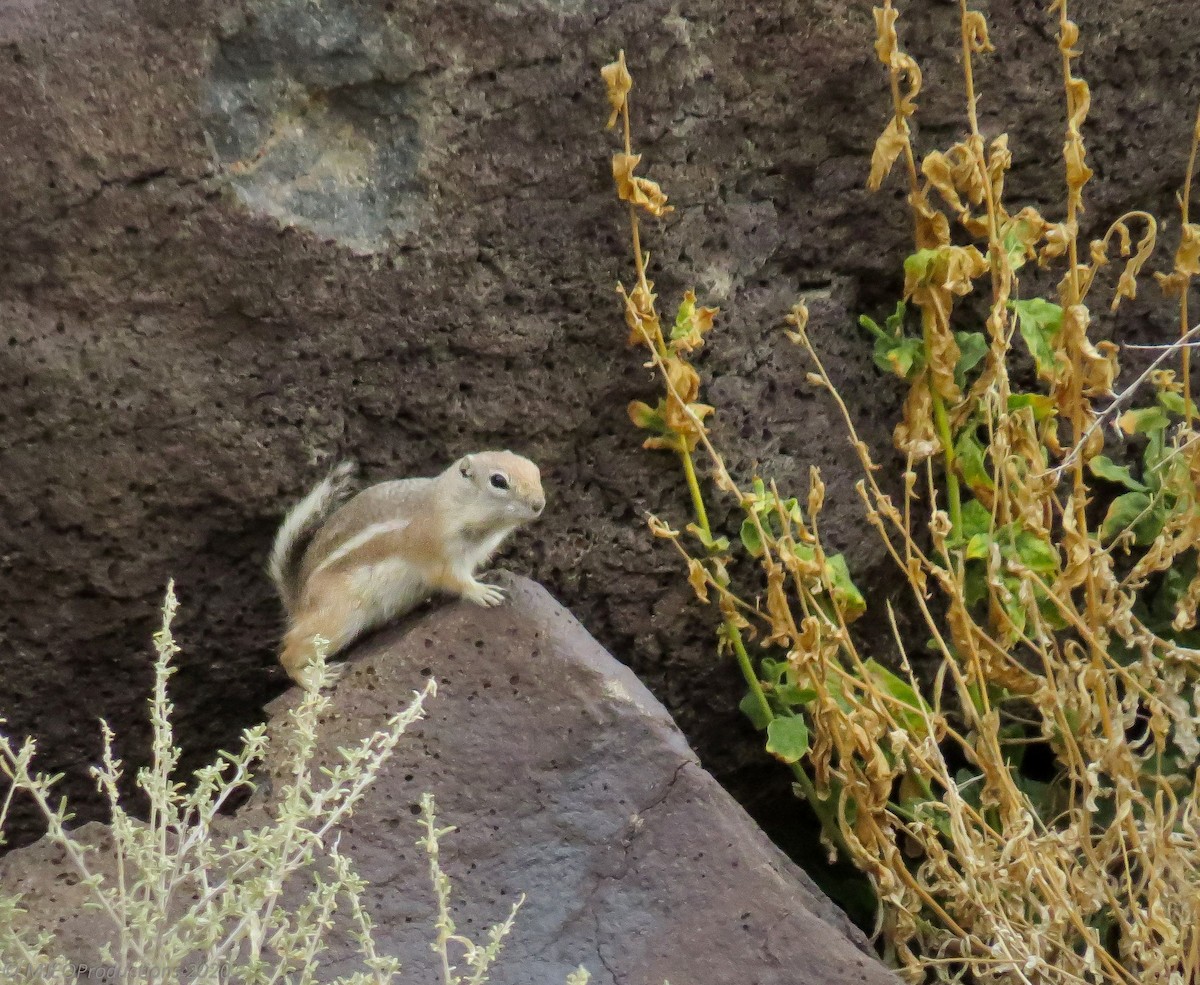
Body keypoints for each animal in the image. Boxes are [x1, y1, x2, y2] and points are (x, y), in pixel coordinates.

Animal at [268, 451, 545, 689]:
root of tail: (299, 602)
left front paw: (483, 577)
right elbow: (451, 578)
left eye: (536, 470)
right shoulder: (436, 552)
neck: (449, 503)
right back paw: (311, 679)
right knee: (288, 651)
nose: (539, 504)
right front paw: (480, 591)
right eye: (498, 481)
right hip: (338, 618)